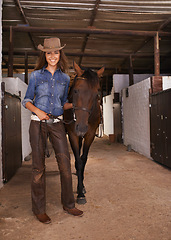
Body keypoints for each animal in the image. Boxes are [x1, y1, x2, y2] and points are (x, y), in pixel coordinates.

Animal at [63, 62, 104, 204]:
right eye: (76, 90)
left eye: (96, 93)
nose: (81, 127)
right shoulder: (72, 135)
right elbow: (78, 162)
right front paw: (80, 193)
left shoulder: (90, 135)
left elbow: (84, 160)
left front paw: (82, 188)